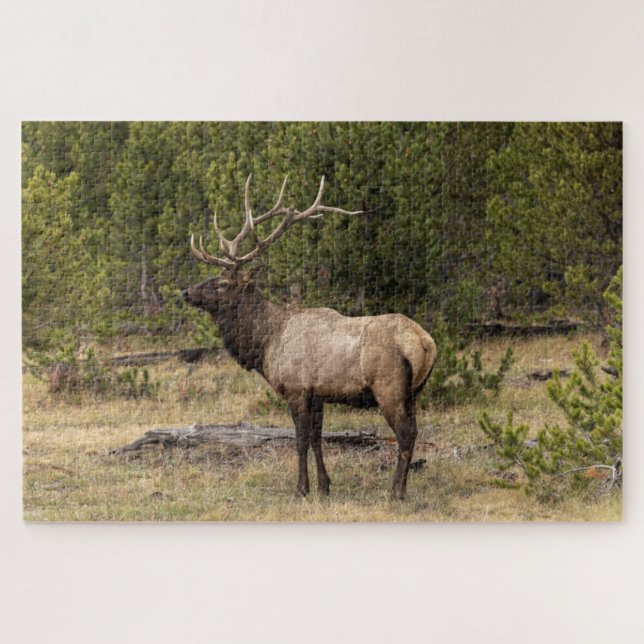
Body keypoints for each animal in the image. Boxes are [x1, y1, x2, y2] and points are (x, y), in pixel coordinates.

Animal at [182, 175, 436, 499]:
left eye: (223, 283)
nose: (185, 291)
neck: (265, 343)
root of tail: (425, 342)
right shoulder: (318, 395)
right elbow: (317, 438)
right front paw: (325, 485)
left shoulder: (296, 389)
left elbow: (300, 440)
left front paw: (301, 488)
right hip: (414, 391)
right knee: (414, 431)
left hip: (388, 386)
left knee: (405, 434)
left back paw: (396, 492)